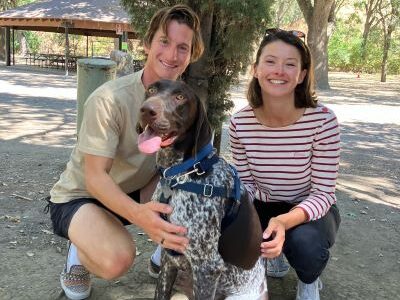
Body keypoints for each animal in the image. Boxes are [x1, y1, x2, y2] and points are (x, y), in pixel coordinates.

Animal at [138, 79, 268, 300]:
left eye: (180, 97)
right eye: (151, 89)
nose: (147, 110)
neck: (180, 173)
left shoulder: (207, 267)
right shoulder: (168, 257)